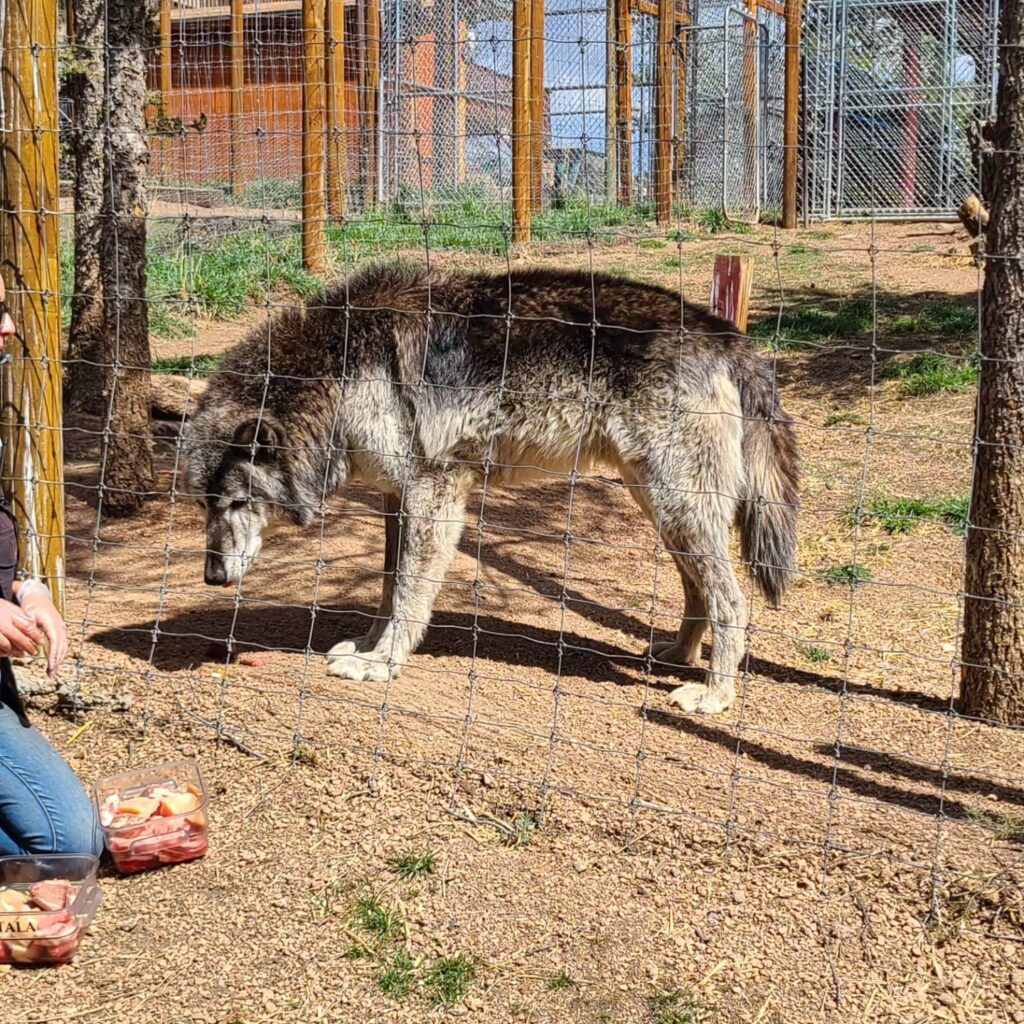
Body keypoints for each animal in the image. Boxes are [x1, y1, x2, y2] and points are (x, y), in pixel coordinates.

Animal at [182, 262, 799, 714]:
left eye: (239, 502)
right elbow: (387, 587)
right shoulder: (396, 499)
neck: (345, 364)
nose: (213, 577)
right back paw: (677, 654)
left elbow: (410, 592)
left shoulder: (435, 493)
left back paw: (715, 693)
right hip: (661, 506)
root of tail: (725, 335)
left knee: (731, 597)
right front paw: (368, 646)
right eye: (206, 505)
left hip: (677, 507)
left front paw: (381, 664)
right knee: (698, 586)